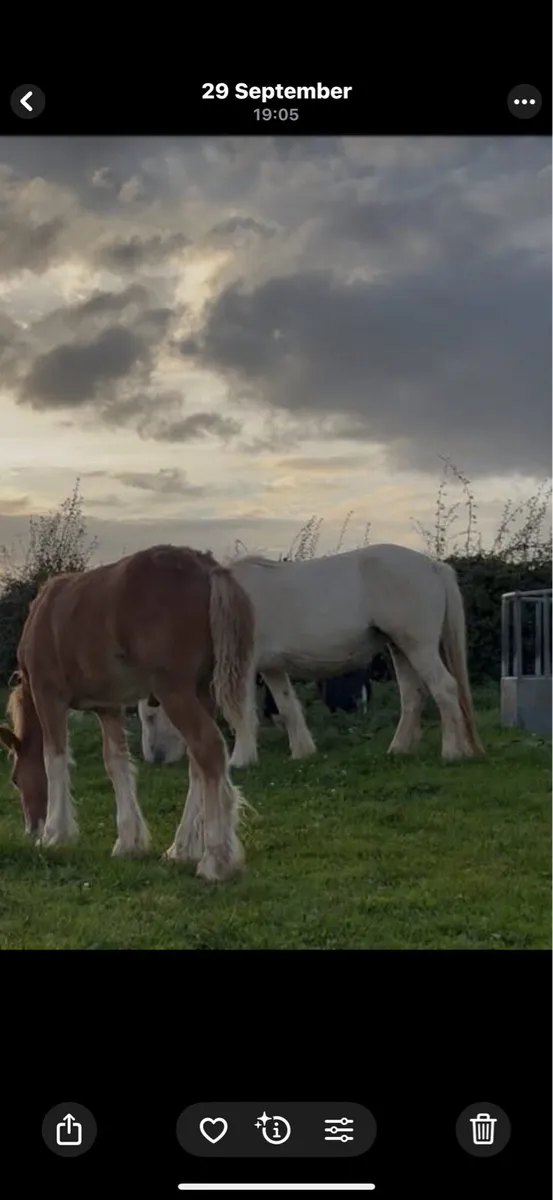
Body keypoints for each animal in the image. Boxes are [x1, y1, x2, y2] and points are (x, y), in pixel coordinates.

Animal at [0, 545, 256, 882]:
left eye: (15, 779)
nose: (31, 829)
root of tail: (207, 567)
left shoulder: (48, 697)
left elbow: (54, 759)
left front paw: (55, 834)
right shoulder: (108, 707)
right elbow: (117, 763)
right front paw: (128, 841)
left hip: (174, 692)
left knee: (208, 749)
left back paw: (214, 860)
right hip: (203, 692)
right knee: (199, 764)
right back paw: (181, 848)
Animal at [225, 543, 483, 767]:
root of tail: (432, 566)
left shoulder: (244, 667)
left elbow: (242, 712)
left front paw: (240, 761)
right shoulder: (271, 667)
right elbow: (287, 707)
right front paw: (301, 752)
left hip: (419, 647)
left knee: (444, 688)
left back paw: (450, 752)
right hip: (400, 648)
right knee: (413, 695)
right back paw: (398, 749)